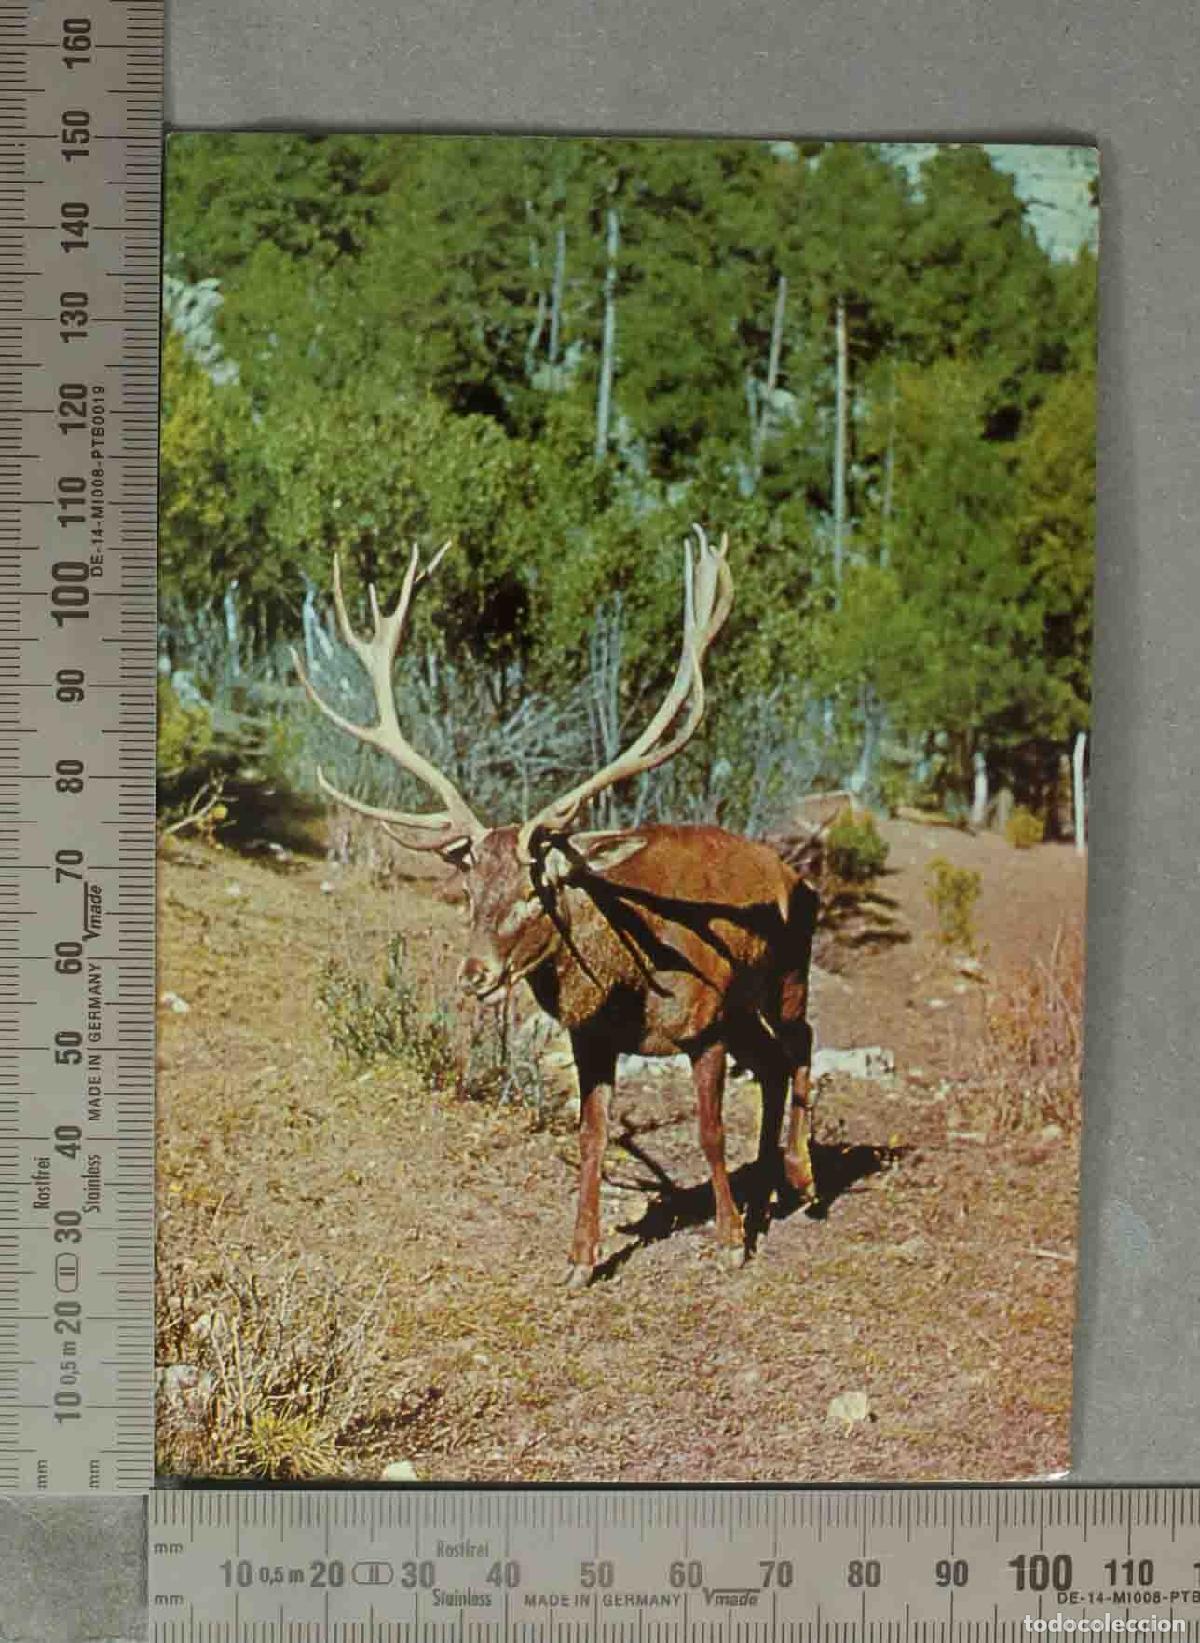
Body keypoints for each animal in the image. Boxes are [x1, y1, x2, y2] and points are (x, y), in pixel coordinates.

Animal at [293, 527, 819, 1291]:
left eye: (535, 889)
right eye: (469, 890)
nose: (475, 974)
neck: (634, 985)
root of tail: (794, 872)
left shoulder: (705, 1021)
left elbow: (709, 1130)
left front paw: (727, 1241)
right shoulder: (591, 1038)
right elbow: (593, 1136)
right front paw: (580, 1258)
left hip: (786, 975)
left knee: (801, 1043)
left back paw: (804, 1181)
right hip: (750, 1003)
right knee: (776, 1062)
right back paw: (770, 1186)